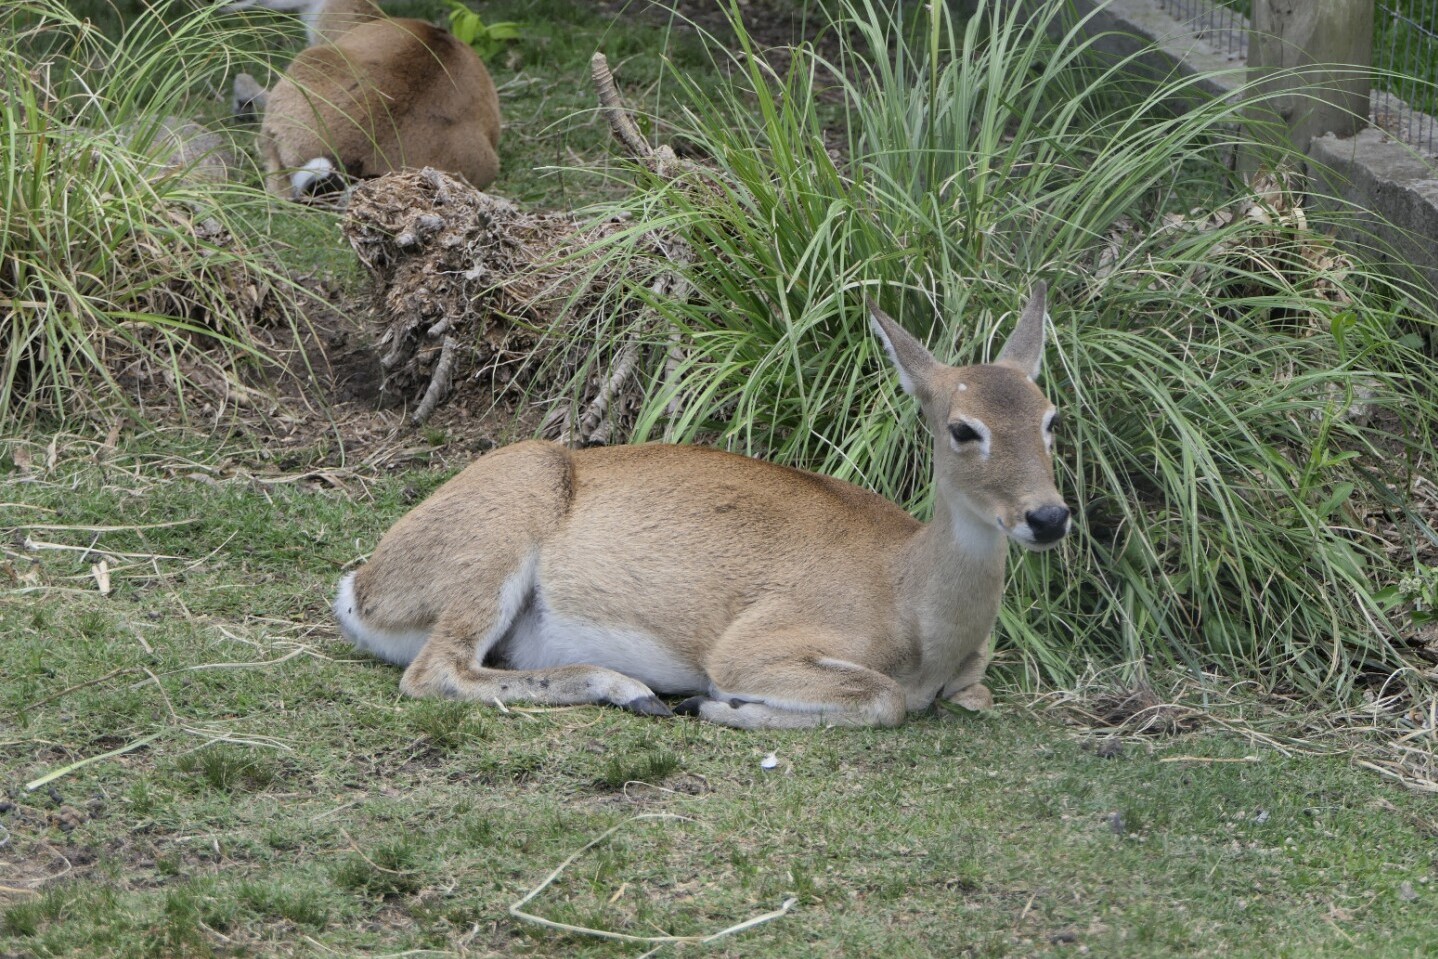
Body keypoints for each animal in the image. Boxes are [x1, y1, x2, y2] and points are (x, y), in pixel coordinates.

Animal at [333, 284, 1069, 727]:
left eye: (1050, 417)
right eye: (964, 428)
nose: (1048, 516)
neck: (909, 603)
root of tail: (360, 589)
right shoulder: (754, 644)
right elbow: (882, 699)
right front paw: (721, 706)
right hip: (495, 547)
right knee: (437, 669)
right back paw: (636, 691)